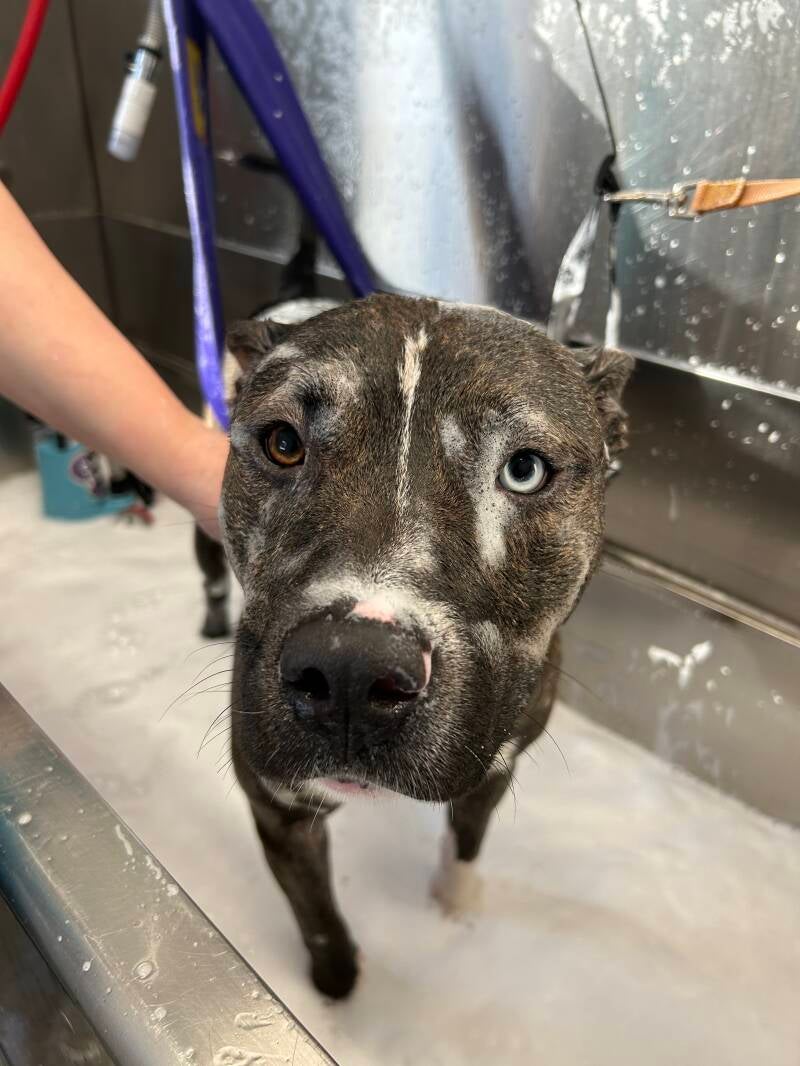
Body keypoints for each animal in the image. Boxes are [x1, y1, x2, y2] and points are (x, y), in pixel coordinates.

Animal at [205, 293, 631, 998]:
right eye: (283, 443)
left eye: (524, 470)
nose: (350, 671)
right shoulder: (279, 808)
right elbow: (315, 913)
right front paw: (337, 984)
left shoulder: (496, 765)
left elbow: (466, 840)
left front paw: (454, 903)